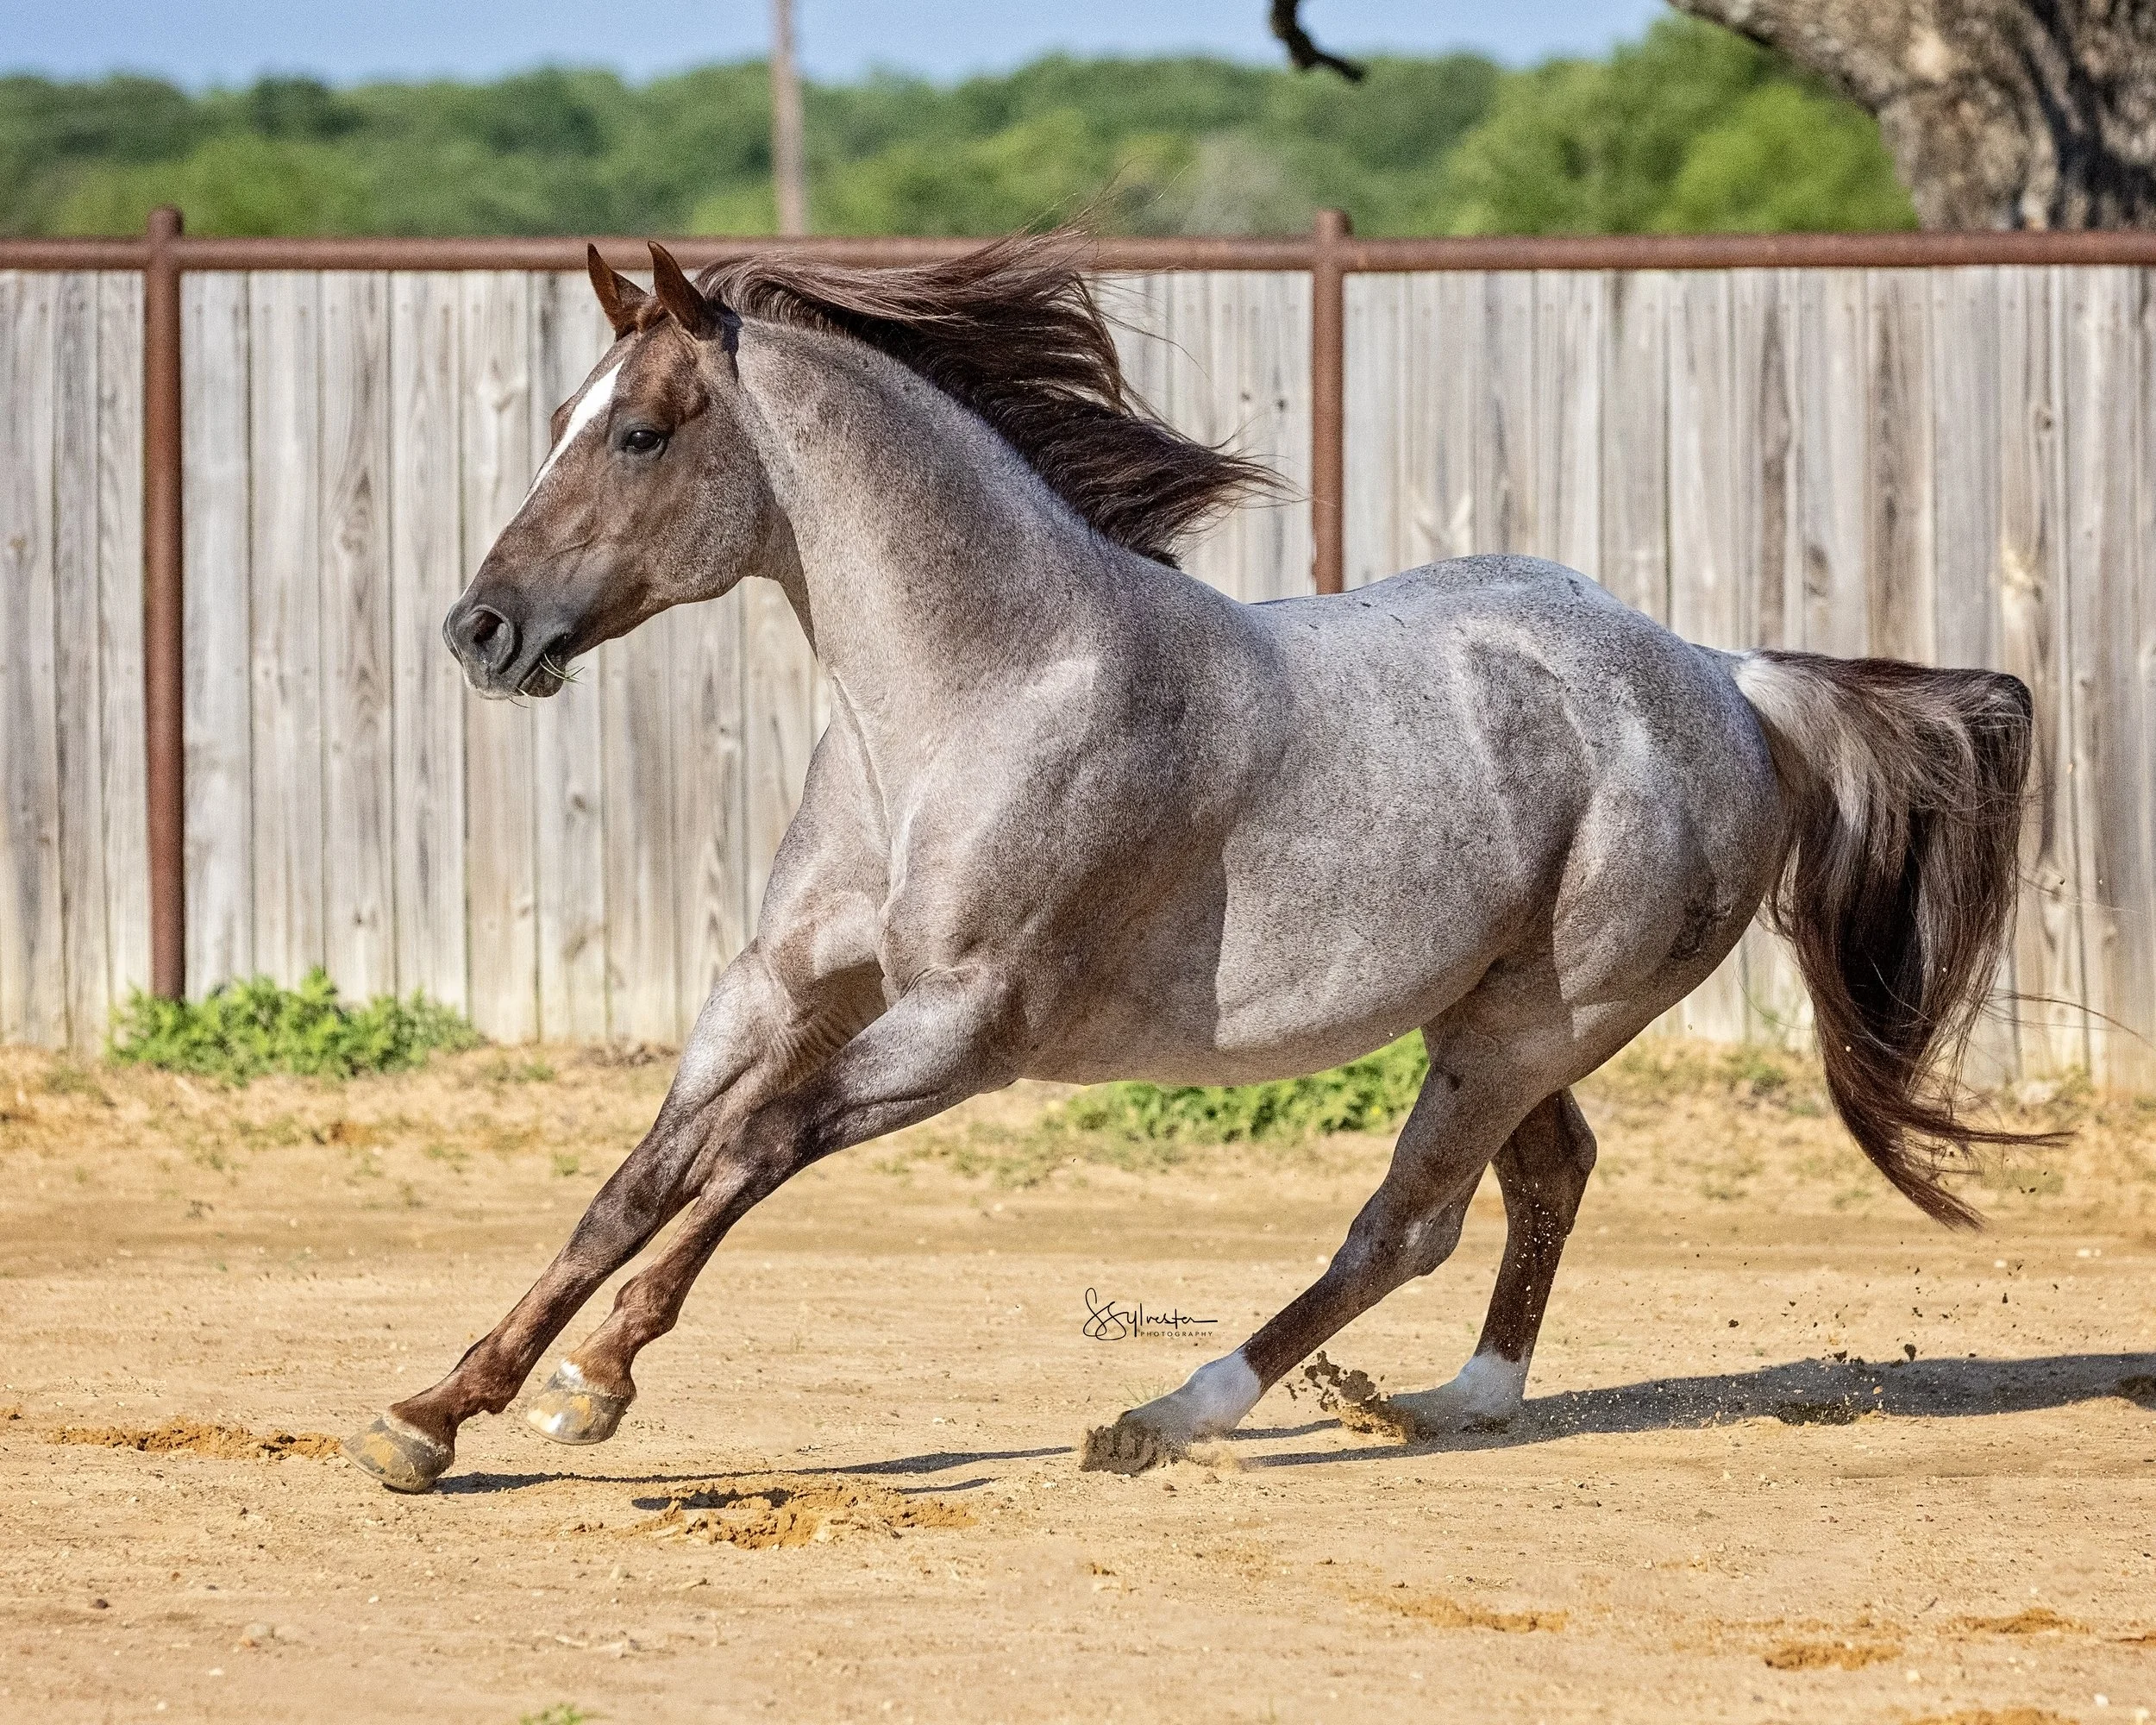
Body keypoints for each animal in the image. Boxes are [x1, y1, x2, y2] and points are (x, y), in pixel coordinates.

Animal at [343, 233, 2034, 1492]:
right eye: (560, 422)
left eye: (638, 433)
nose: (480, 629)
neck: (978, 693)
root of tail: (1727, 678)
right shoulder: (777, 988)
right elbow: (636, 1181)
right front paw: (432, 1414)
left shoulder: (967, 1027)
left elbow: (754, 1154)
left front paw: (593, 1383)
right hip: (1497, 1014)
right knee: (1546, 1179)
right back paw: (1457, 1404)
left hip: (1530, 1024)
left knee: (1406, 1224)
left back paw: (1169, 1417)